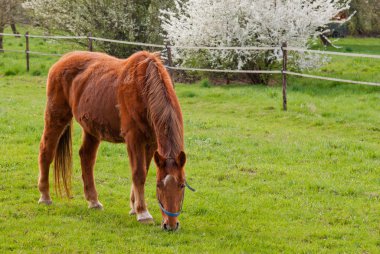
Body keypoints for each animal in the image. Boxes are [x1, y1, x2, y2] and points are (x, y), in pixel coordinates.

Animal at [37, 50, 187, 231]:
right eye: (158, 185)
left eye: (182, 185)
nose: (170, 225)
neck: (143, 87)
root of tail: (63, 59)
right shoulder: (134, 139)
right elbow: (138, 174)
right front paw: (143, 213)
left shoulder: (151, 143)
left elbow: (143, 171)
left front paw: (134, 207)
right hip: (56, 116)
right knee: (46, 151)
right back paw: (45, 196)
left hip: (91, 128)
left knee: (86, 157)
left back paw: (93, 201)